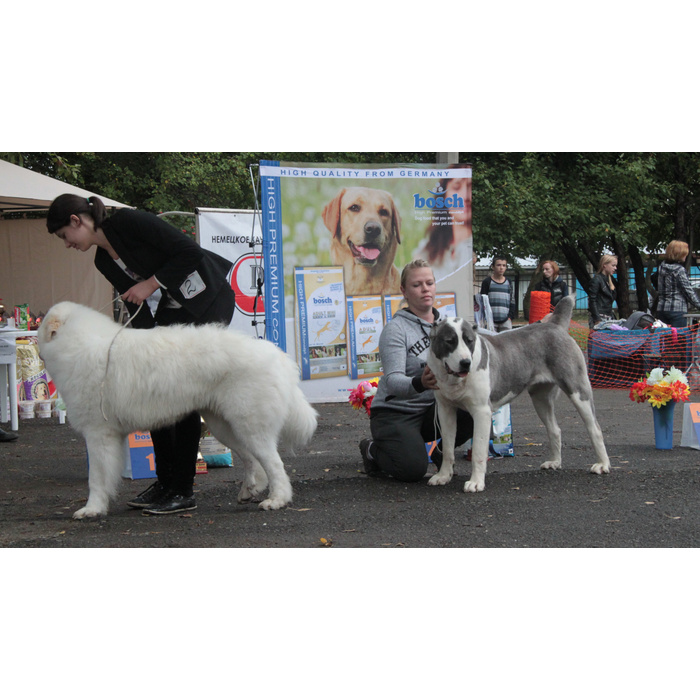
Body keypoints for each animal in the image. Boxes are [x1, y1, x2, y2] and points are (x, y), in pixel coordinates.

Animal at [38, 300, 318, 520]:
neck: (78, 345)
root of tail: (277, 354)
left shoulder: (98, 433)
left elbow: (96, 477)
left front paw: (92, 509)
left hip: (249, 423)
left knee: (274, 464)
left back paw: (277, 500)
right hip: (224, 426)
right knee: (253, 460)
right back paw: (249, 491)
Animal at [424, 294, 608, 492]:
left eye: (469, 341)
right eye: (449, 341)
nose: (466, 363)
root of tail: (555, 325)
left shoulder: (482, 412)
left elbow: (479, 451)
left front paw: (476, 482)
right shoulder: (445, 411)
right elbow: (447, 448)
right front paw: (443, 476)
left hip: (578, 391)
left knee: (595, 428)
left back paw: (602, 464)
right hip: (540, 399)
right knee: (554, 429)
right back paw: (554, 462)